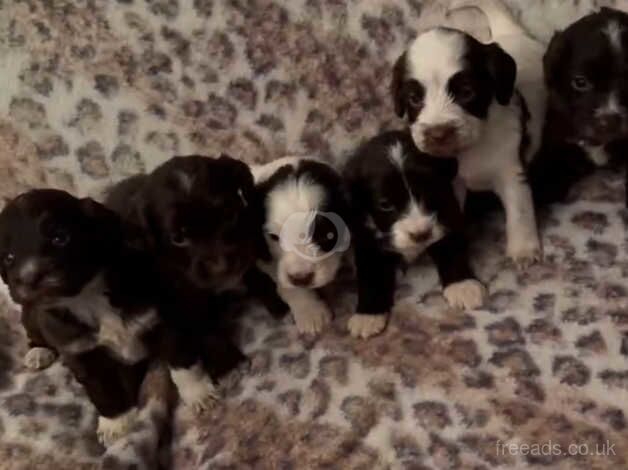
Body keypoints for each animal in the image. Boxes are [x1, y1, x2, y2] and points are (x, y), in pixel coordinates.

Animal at [0, 189, 162, 446]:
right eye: (8, 257)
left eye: (60, 238)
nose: (29, 277)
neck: (87, 297)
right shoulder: (82, 354)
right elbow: (103, 391)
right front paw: (115, 424)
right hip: (30, 314)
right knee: (33, 332)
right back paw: (38, 352)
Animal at [344, 130, 486, 340]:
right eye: (385, 205)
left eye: (429, 191)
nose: (421, 234)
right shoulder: (365, 237)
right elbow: (371, 273)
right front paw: (367, 315)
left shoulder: (448, 211)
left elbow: (451, 248)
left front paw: (462, 285)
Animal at [390, 0, 548, 264]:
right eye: (413, 99)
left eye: (466, 92)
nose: (438, 134)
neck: (471, 148)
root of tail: (510, 33)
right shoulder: (449, 182)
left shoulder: (511, 170)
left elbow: (519, 209)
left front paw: (523, 249)